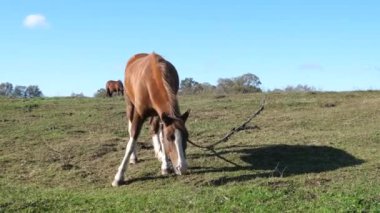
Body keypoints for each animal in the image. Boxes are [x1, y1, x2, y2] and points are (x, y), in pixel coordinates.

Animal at [112, 53, 190, 186]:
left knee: (154, 129)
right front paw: (119, 176)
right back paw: (134, 157)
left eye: (186, 137)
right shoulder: (139, 114)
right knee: (130, 127)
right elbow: (132, 140)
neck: (152, 79)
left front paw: (165, 165)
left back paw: (159, 153)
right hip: (130, 105)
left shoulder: (161, 114)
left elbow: (160, 135)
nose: (182, 167)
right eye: (170, 138)